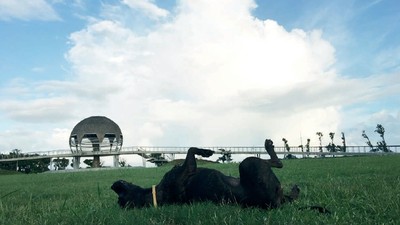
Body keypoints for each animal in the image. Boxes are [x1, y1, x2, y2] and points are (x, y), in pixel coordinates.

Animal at [111, 139, 298, 209]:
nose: (118, 183)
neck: (154, 194)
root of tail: (275, 202)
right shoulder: (189, 168)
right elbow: (191, 149)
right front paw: (206, 152)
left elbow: (190, 149)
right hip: (248, 164)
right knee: (277, 163)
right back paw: (269, 146)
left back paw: (295, 189)